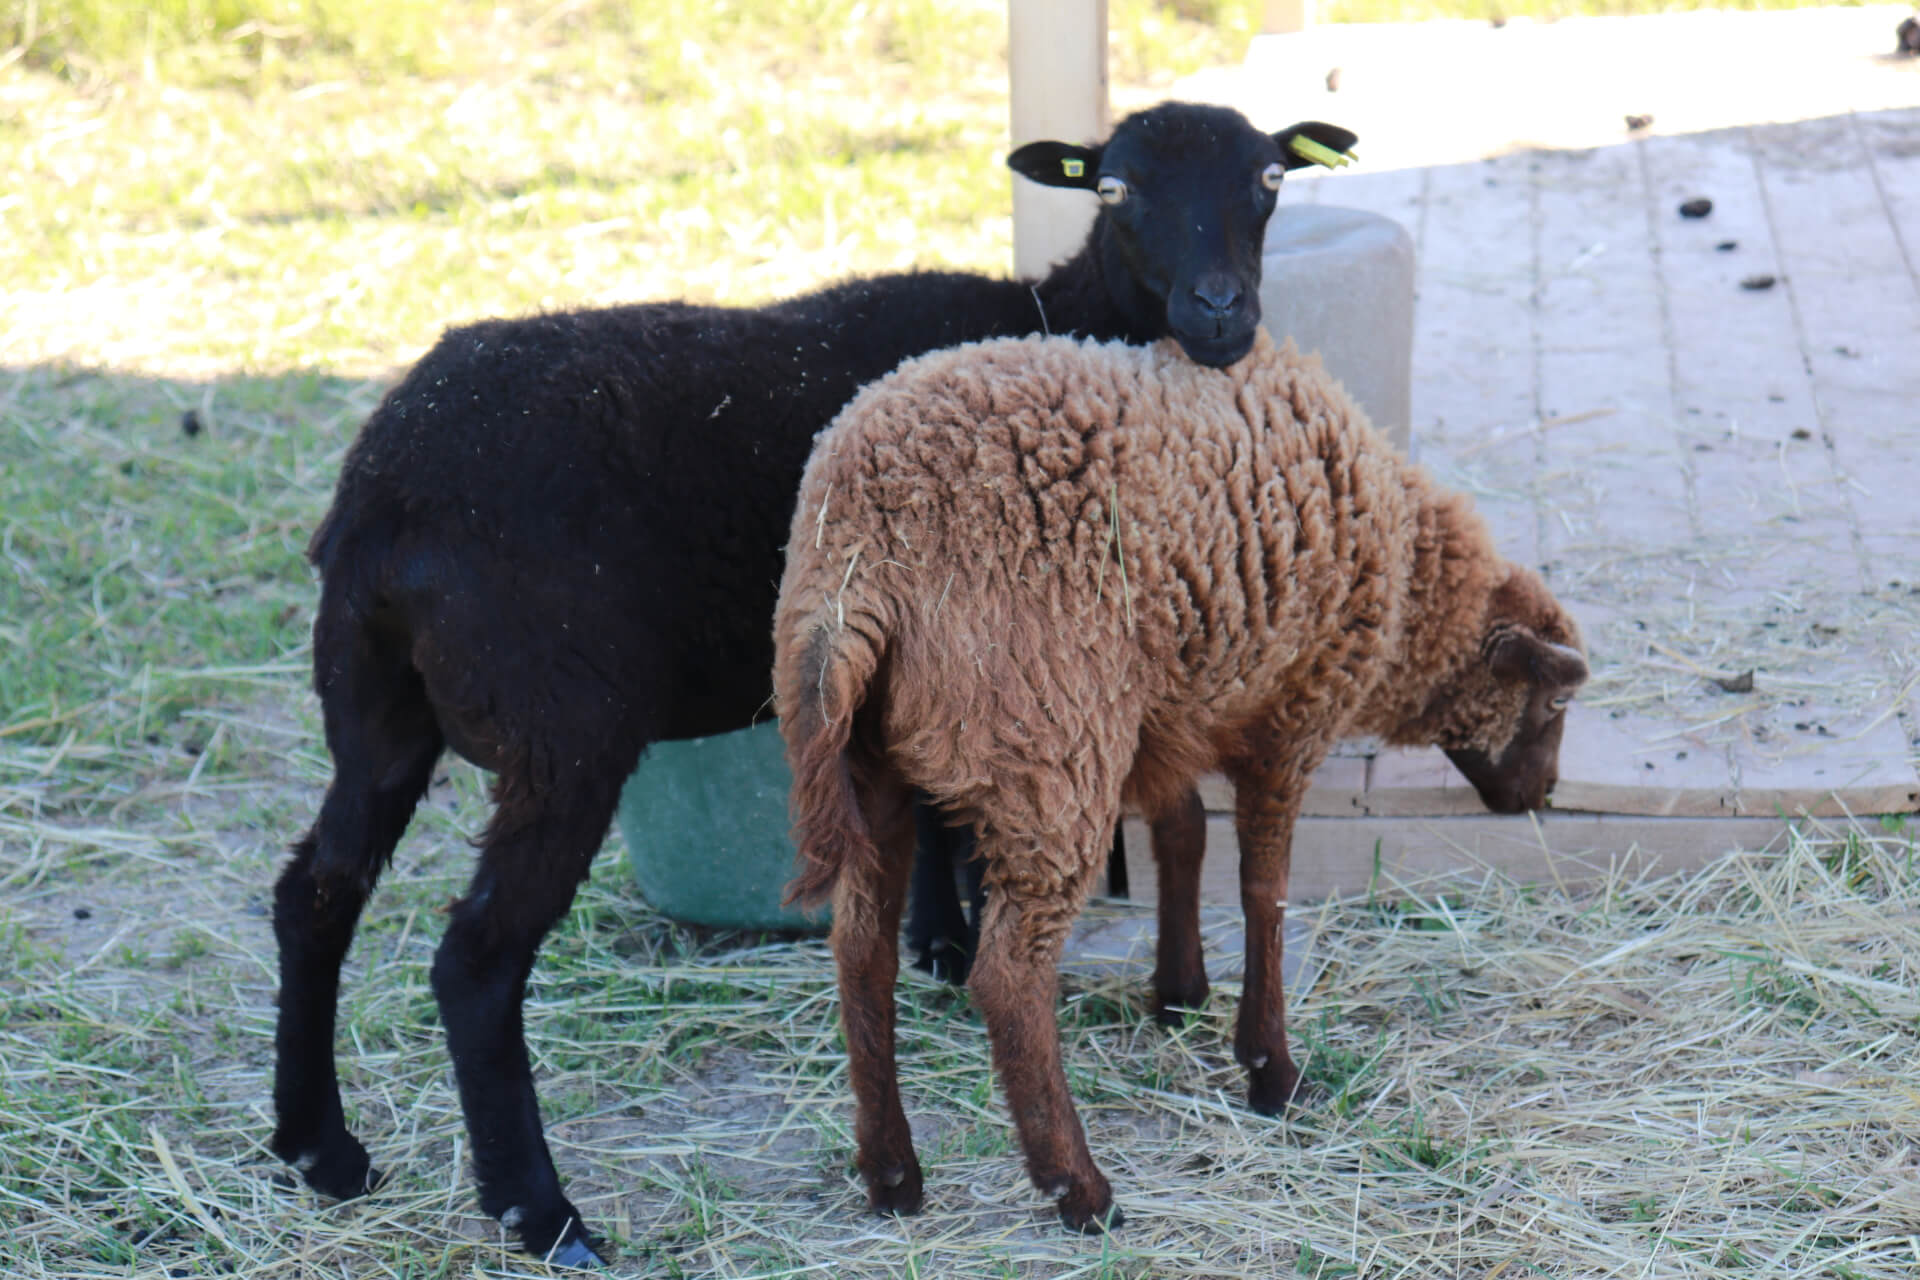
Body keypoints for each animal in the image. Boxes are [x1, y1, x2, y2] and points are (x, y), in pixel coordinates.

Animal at [271, 101, 1359, 1266]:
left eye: (1268, 180)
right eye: (1115, 189)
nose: (1220, 312)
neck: (1056, 313)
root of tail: (383, 500)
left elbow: (929, 810)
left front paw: (937, 940)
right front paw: (961, 940)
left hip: (374, 709)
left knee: (315, 892)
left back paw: (320, 1151)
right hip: (565, 732)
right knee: (475, 962)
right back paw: (545, 1213)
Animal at [774, 330, 1588, 1233]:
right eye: (1554, 702)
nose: (1540, 797)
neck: (1407, 580)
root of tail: (859, 568)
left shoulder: (1162, 719)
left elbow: (1184, 832)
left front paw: (1179, 991)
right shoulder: (1291, 716)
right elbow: (1264, 891)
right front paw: (1270, 1069)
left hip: (875, 764)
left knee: (862, 952)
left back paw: (892, 1175)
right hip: (1049, 747)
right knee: (1010, 976)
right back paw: (1078, 1189)